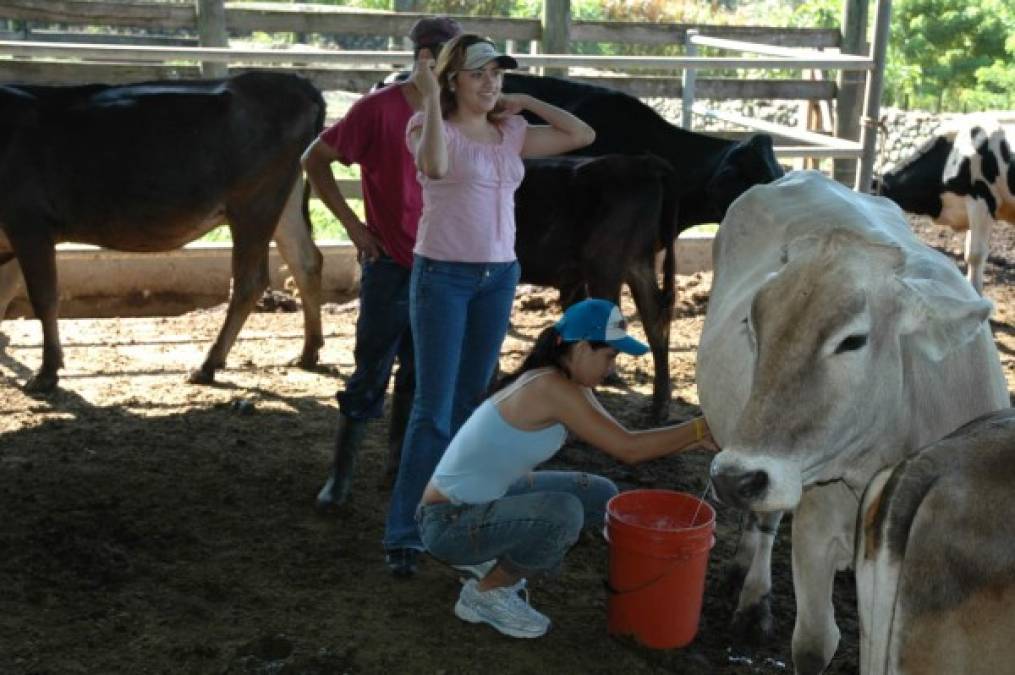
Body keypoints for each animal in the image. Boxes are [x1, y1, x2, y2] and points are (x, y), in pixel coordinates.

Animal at [0, 70, 324, 389]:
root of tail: (295, 83)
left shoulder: (29, 225)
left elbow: (43, 298)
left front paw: (46, 373)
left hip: (254, 203)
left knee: (250, 282)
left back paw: (208, 365)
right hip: (284, 201)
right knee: (306, 262)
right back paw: (308, 352)